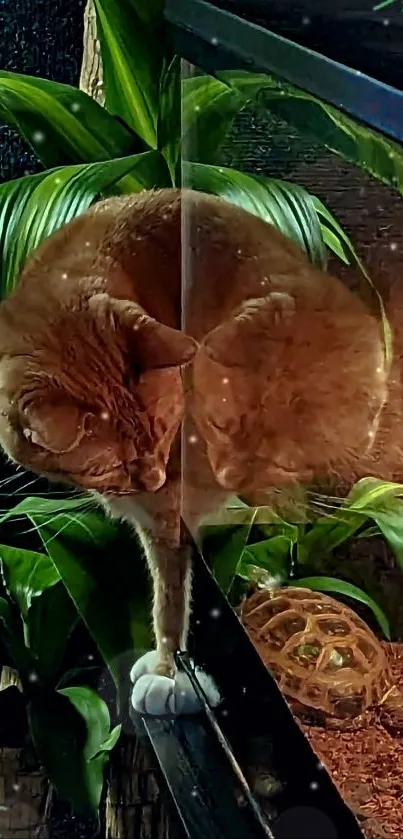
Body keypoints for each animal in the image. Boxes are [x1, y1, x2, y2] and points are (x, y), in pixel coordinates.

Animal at [0, 189, 390, 716]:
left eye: (166, 431)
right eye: (111, 463)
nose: (155, 479)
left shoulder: (174, 518)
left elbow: (174, 597)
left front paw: (171, 675)